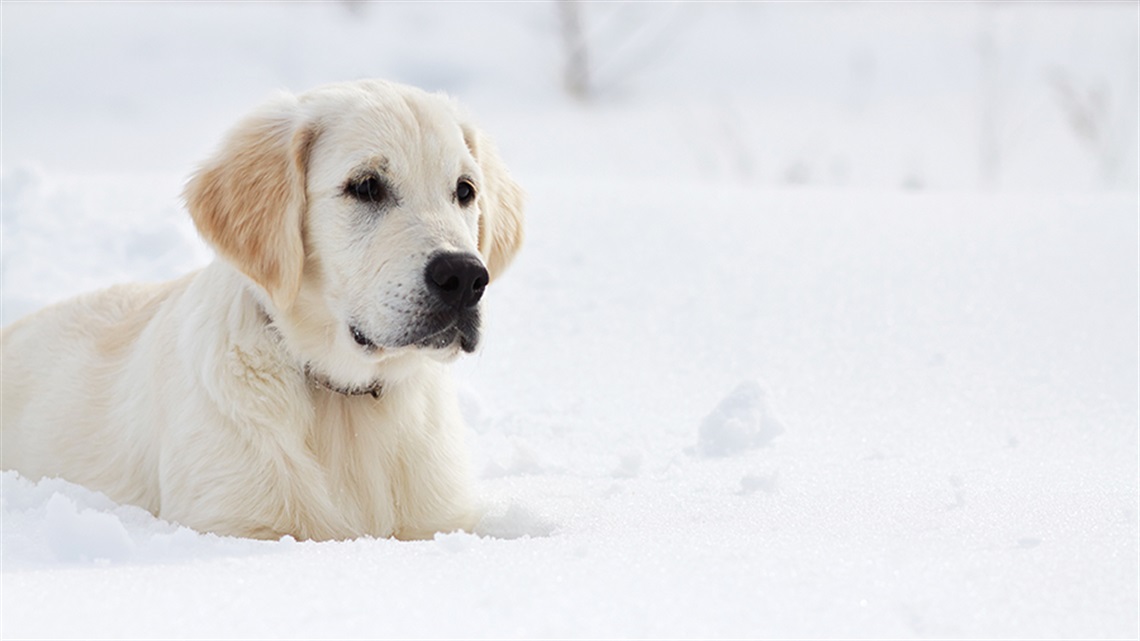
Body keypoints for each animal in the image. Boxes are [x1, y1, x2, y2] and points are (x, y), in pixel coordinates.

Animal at [0, 78, 524, 538]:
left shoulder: (438, 520)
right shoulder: (233, 521)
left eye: (465, 190)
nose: (465, 278)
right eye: (366, 186)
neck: (344, 400)